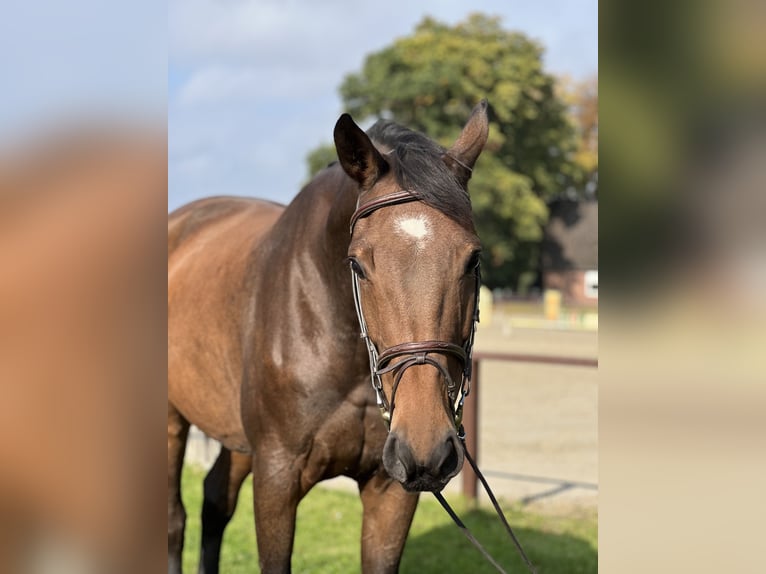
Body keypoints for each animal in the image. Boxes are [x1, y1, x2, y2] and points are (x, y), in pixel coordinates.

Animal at [167, 100, 489, 573]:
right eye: (356, 264)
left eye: (473, 259)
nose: (426, 443)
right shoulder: (277, 475)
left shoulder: (389, 489)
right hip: (173, 419)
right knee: (175, 519)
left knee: (215, 499)